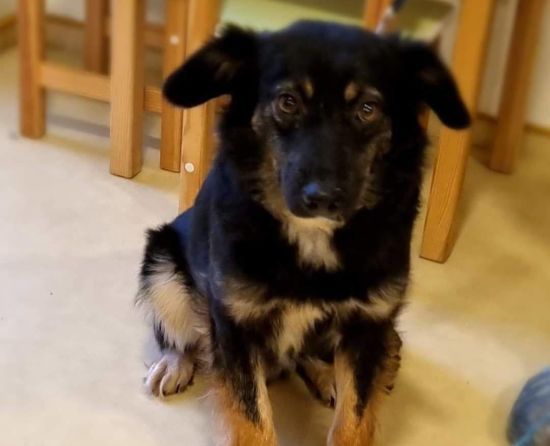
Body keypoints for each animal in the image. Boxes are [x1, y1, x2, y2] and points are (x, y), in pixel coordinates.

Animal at [137, 20, 469, 446]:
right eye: (288, 102)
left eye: (367, 108)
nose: (322, 197)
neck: (312, 237)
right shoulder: (234, 323)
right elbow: (252, 420)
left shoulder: (368, 325)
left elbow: (353, 419)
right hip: (162, 263)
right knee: (179, 335)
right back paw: (174, 363)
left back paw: (326, 374)